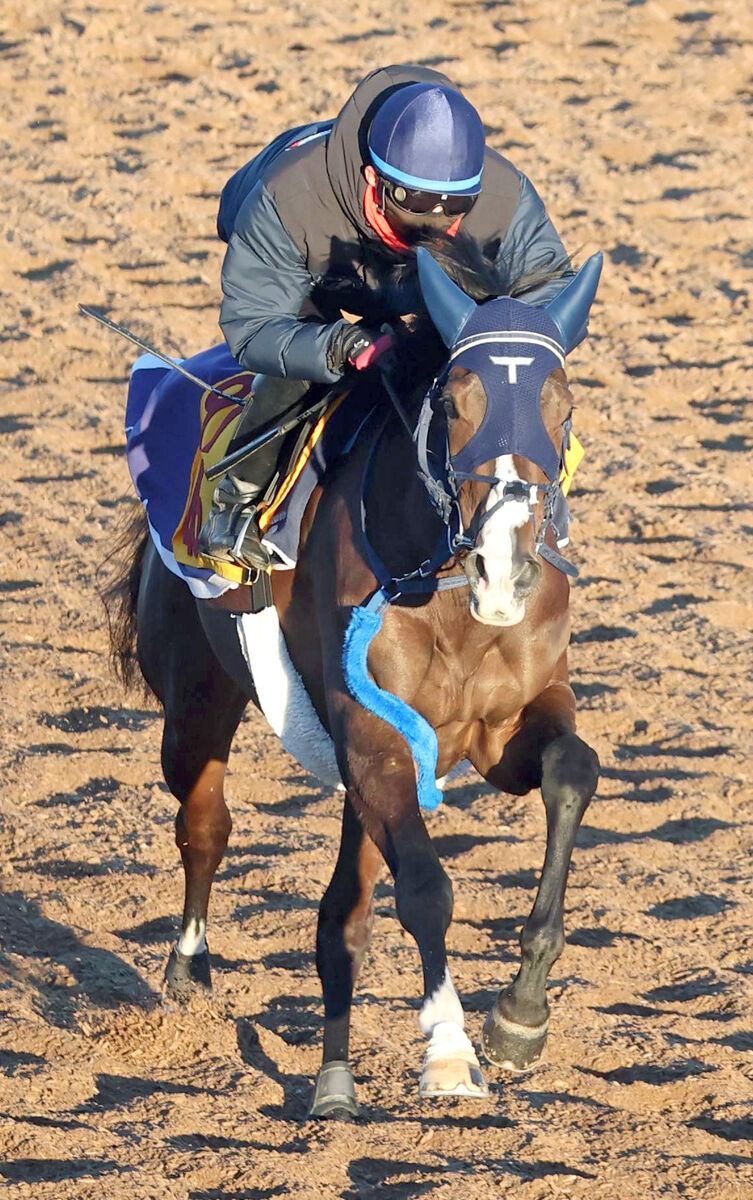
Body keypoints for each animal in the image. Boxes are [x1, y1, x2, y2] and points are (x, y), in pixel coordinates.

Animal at [104, 238, 599, 1118]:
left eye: (560, 404)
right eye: (456, 404)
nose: (502, 565)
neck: (451, 595)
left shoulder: (501, 727)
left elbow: (571, 769)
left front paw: (520, 1013)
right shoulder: (373, 736)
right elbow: (427, 889)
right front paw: (449, 1050)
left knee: (342, 910)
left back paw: (333, 1078)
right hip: (196, 702)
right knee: (205, 827)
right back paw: (189, 969)